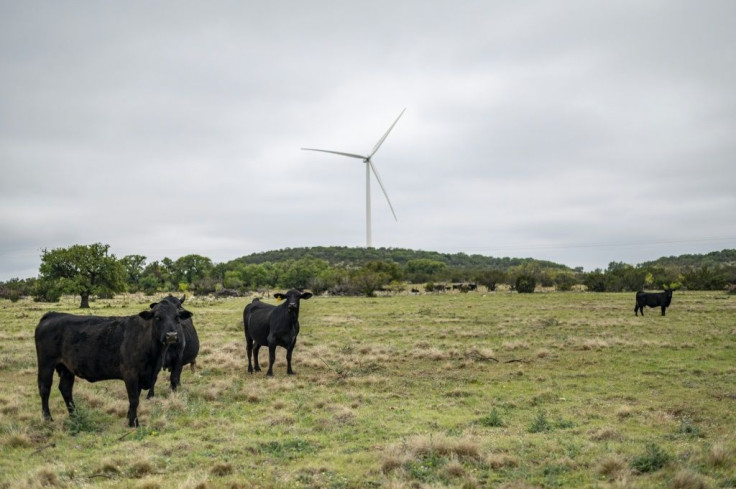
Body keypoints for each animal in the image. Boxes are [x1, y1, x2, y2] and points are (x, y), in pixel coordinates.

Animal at [34, 300, 191, 426]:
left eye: (177, 317)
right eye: (158, 317)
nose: (171, 336)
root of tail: (53, 314)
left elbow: (135, 398)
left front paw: (129, 417)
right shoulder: (130, 374)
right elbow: (134, 399)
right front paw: (133, 423)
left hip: (67, 368)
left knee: (65, 389)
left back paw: (75, 416)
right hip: (46, 364)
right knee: (45, 388)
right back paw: (47, 418)